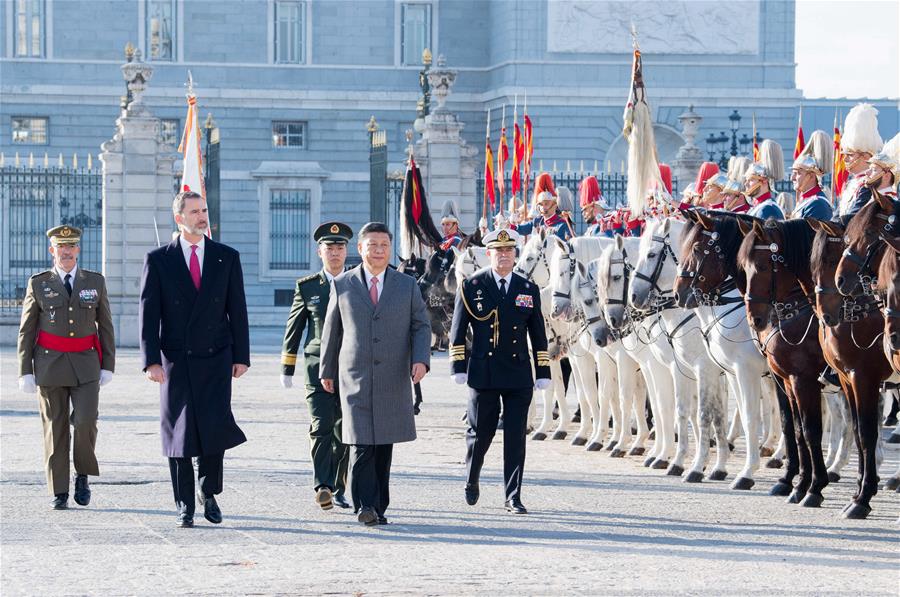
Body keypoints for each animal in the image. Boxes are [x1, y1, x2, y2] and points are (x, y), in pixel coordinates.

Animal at [676, 212, 800, 496]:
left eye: (696, 249)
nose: (679, 294)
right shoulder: (731, 372)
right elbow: (740, 414)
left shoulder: (745, 371)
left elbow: (747, 417)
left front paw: (744, 473)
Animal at [804, 218, 888, 516]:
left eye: (830, 259)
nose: (825, 314)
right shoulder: (845, 378)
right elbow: (857, 431)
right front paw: (860, 491)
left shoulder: (864, 378)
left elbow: (866, 432)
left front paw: (862, 498)